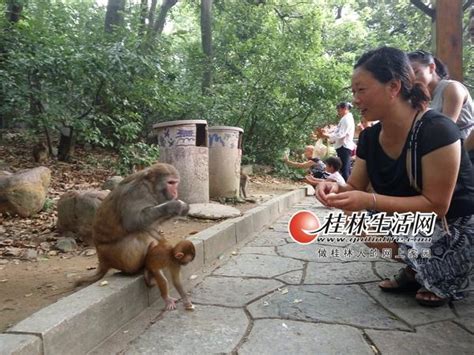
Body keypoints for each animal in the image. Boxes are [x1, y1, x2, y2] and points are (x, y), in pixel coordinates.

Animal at [75, 163, 193, 312]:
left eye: (176, 183)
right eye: (170, 183)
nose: (176, 192)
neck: (150, 188)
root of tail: (102, 258)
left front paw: (183, 207)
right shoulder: (137, 193)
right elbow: (134, 221)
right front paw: (174, 205)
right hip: (116, 255)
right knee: (140, 233)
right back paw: (139, 270)